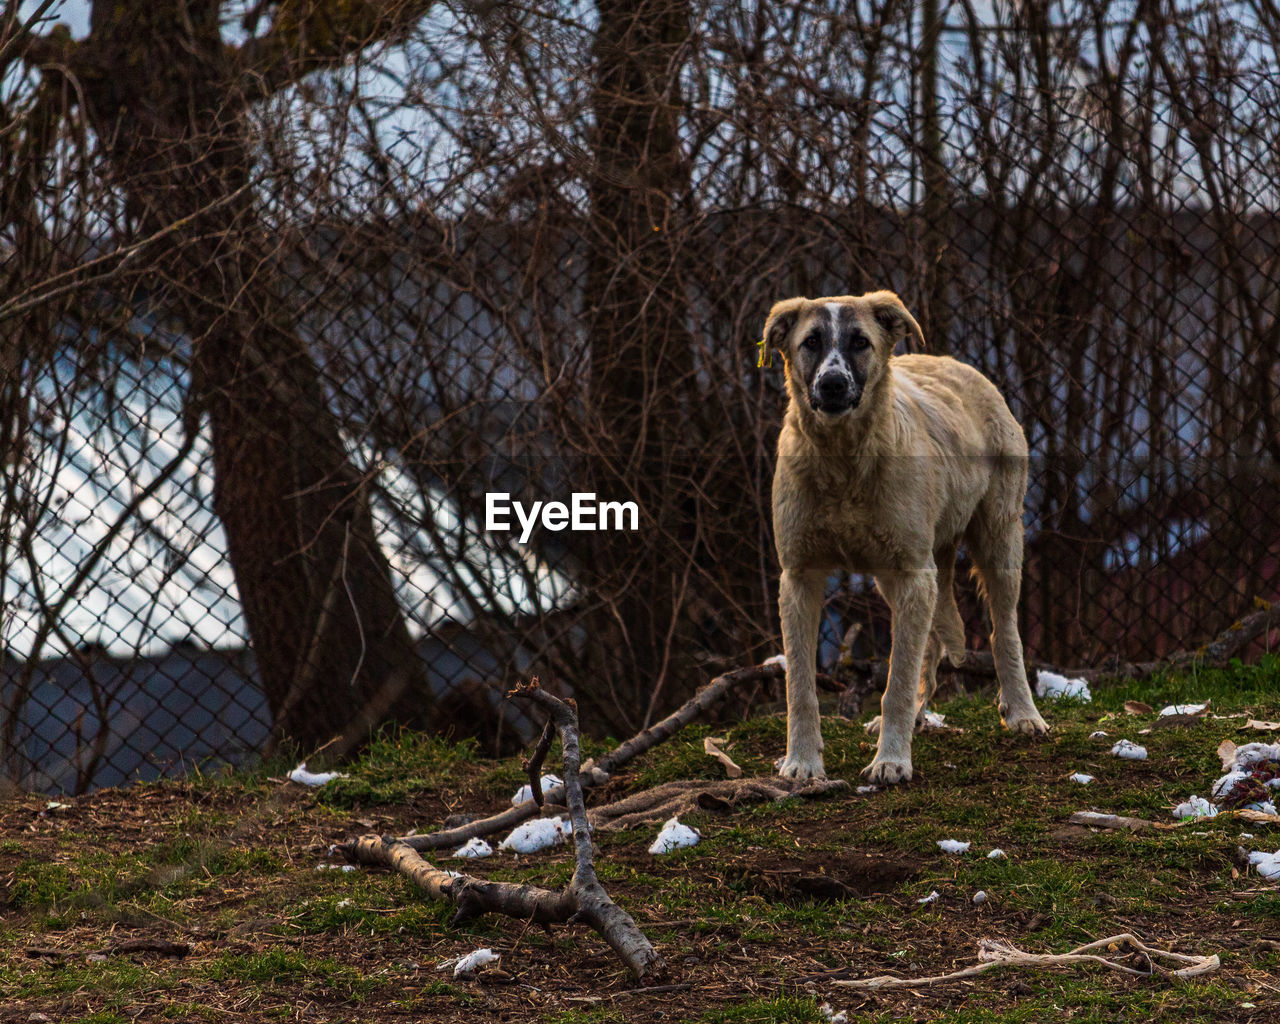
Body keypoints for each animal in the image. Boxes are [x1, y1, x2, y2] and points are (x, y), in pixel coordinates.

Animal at [757, 291, 1049, 788]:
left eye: (860, 342)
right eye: (810, 342)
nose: (832, 385)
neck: (844, 462)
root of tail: (956, 365)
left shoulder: (914, 572)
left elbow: (895, 680)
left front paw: (891, 760)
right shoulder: (800, 578)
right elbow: (800, 686)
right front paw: (802, 762)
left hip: (998, 541)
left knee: (1003, 630)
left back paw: (1022, 713)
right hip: (898, 577)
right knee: (930, 640)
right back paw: (916, 716)